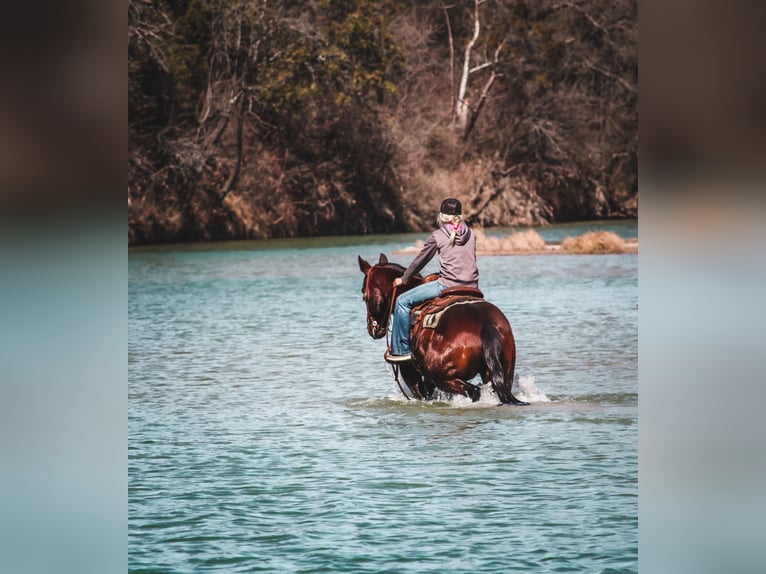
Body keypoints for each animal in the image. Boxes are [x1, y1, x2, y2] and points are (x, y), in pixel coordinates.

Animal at [358, 254, 528, 408]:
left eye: (364, 295)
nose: (372, 328)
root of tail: (486, 325)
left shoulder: (409, 369)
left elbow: (421, 393)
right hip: (501, 372)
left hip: (444, 378)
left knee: (474, 391)